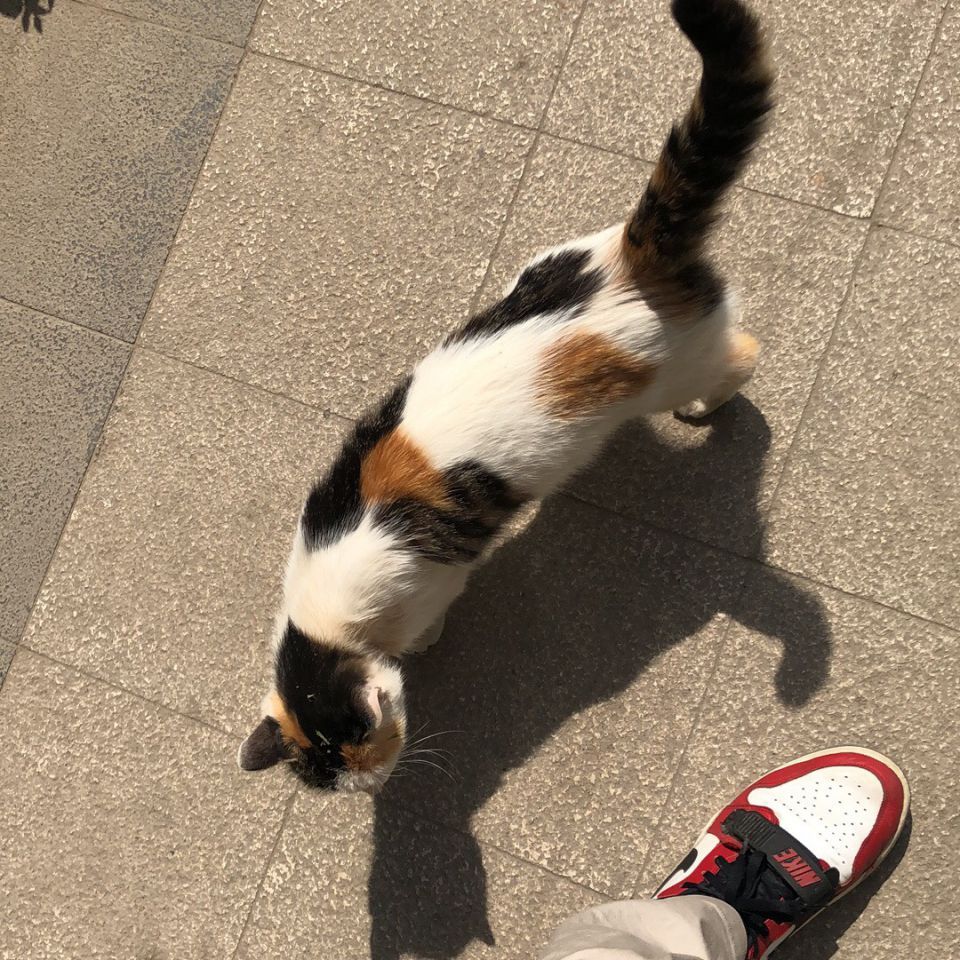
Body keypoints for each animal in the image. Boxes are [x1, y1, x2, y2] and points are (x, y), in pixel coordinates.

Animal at [238, 0, 773, 792]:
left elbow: (430, 618)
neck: (322, 623)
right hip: (551, 256)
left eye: (360, 741)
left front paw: (427, 643)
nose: (373, 780)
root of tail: (631, 262)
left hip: (684, 365)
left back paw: (710, 407)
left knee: (741, 358)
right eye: (333, 776)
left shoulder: (432, 584)